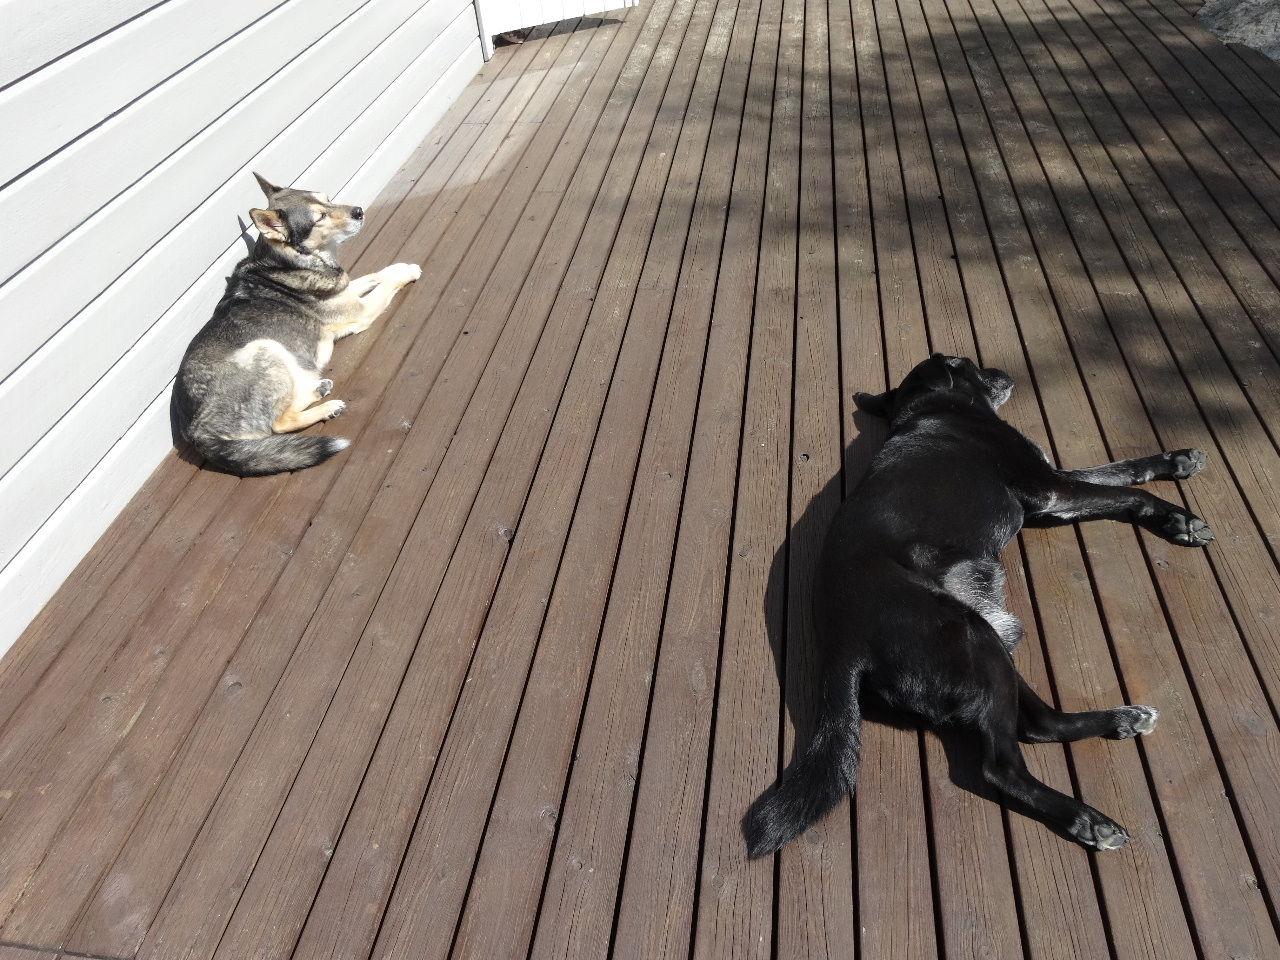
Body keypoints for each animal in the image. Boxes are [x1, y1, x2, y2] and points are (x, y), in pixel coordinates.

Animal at [172, 173, 421, 476]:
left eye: (328, 199)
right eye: (320, 217)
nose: (359, 211)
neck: (289, 263)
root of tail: (198, 433)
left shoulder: (346, 291)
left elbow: (374, 275)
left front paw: (399, 266)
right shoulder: (360, 310)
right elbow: (384, 284)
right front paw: (407, 272)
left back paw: (318, 390)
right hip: (265, 350)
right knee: (279, 423)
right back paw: (326, 407)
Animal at [743, 354, 1213, 856]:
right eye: (963, 361)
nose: (1004, 371)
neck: (935, 407)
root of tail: (840, 649)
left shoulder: (1055, 482)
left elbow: (1122, 468)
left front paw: (1176, 460)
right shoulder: (1052, 490)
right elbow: (1128, 493)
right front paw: (1179, 520)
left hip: (991, 636)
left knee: (1041, 721)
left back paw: (1124, 720)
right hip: (972, 637)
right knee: (1006, 762)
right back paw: (1086, 818)